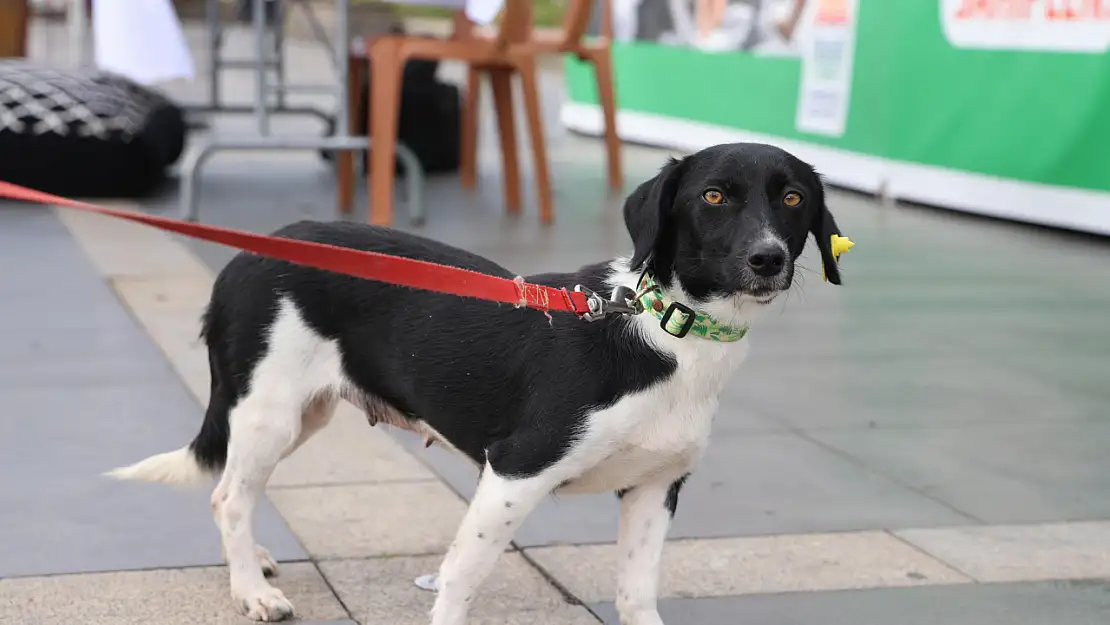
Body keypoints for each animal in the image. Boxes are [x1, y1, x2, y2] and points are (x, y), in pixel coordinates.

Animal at [106, 143, 848, 625]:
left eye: (793, 198)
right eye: (714, 196)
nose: (768, 259)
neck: (666, 330)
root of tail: (245, 254)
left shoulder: (655, 488)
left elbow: (637, 594)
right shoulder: (516, 470)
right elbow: (462, 575)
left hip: (300, 414)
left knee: (235, 491)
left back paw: (253, 561)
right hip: (269, 411)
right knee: (229, 494)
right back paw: (249, 592)